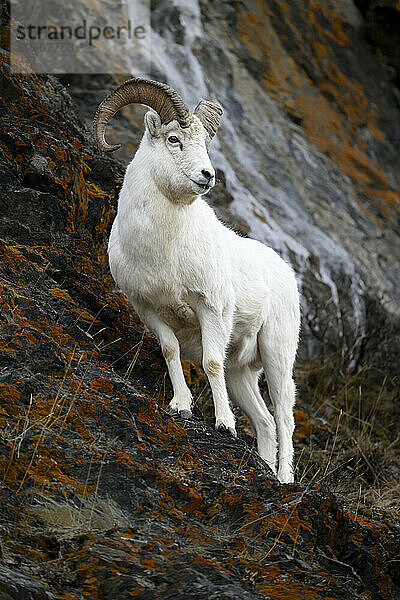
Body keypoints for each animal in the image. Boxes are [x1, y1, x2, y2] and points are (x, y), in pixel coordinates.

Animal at [93, 78, 300, 482]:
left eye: (205, 144)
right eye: (174, 139)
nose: (207, 176)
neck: (163, 252)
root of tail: (285, 273)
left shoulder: (211, 311)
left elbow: (210, 363)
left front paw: (224, 426)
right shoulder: (150, 310)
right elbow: (171, 351)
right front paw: (181, 406)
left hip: (277, 354)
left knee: (284, 417)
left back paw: (284, 479)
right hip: (243, 373)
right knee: (266, 423)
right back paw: (267, 469)